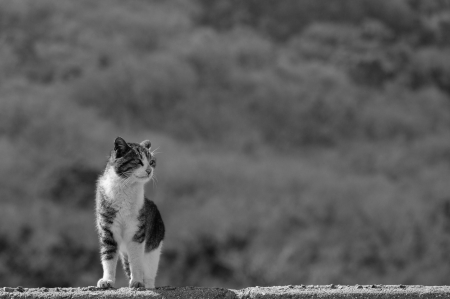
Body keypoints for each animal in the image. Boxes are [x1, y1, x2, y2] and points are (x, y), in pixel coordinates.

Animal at [96, 137, 164, 290]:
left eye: (151, 162)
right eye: (138, 161)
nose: (149, 170)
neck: (125, 188)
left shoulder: (136, 232)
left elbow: (136, 261)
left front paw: (137, 282)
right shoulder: (108, 230)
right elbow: (108, 257)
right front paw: (107, 281)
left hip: (153, 248)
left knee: (149, 272)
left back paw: (147, 285)